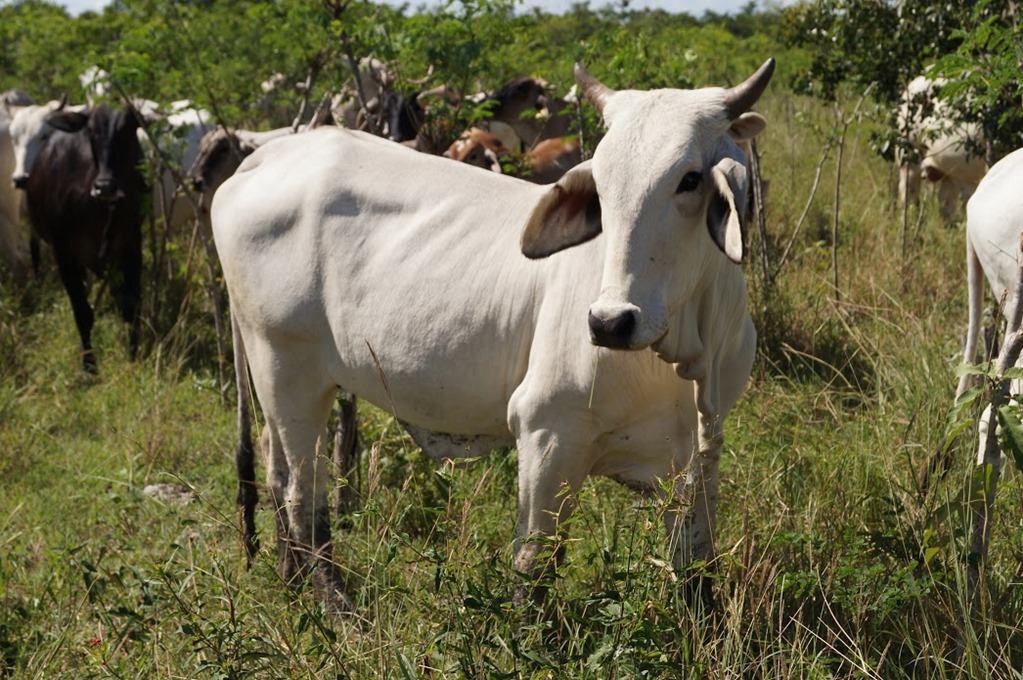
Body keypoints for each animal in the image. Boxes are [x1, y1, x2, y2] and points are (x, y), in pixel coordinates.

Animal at [215, 61, 773, 605]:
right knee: (302, 494)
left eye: (690, 179)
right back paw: (335, 603)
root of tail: (262, 158)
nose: (609, 322)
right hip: (288, 370)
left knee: (275, 467)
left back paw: (291, 584)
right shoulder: (548, 432)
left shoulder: (699, 453)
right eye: (601, 183)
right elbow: (533, 572)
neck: (688, 349)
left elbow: (697, 568)